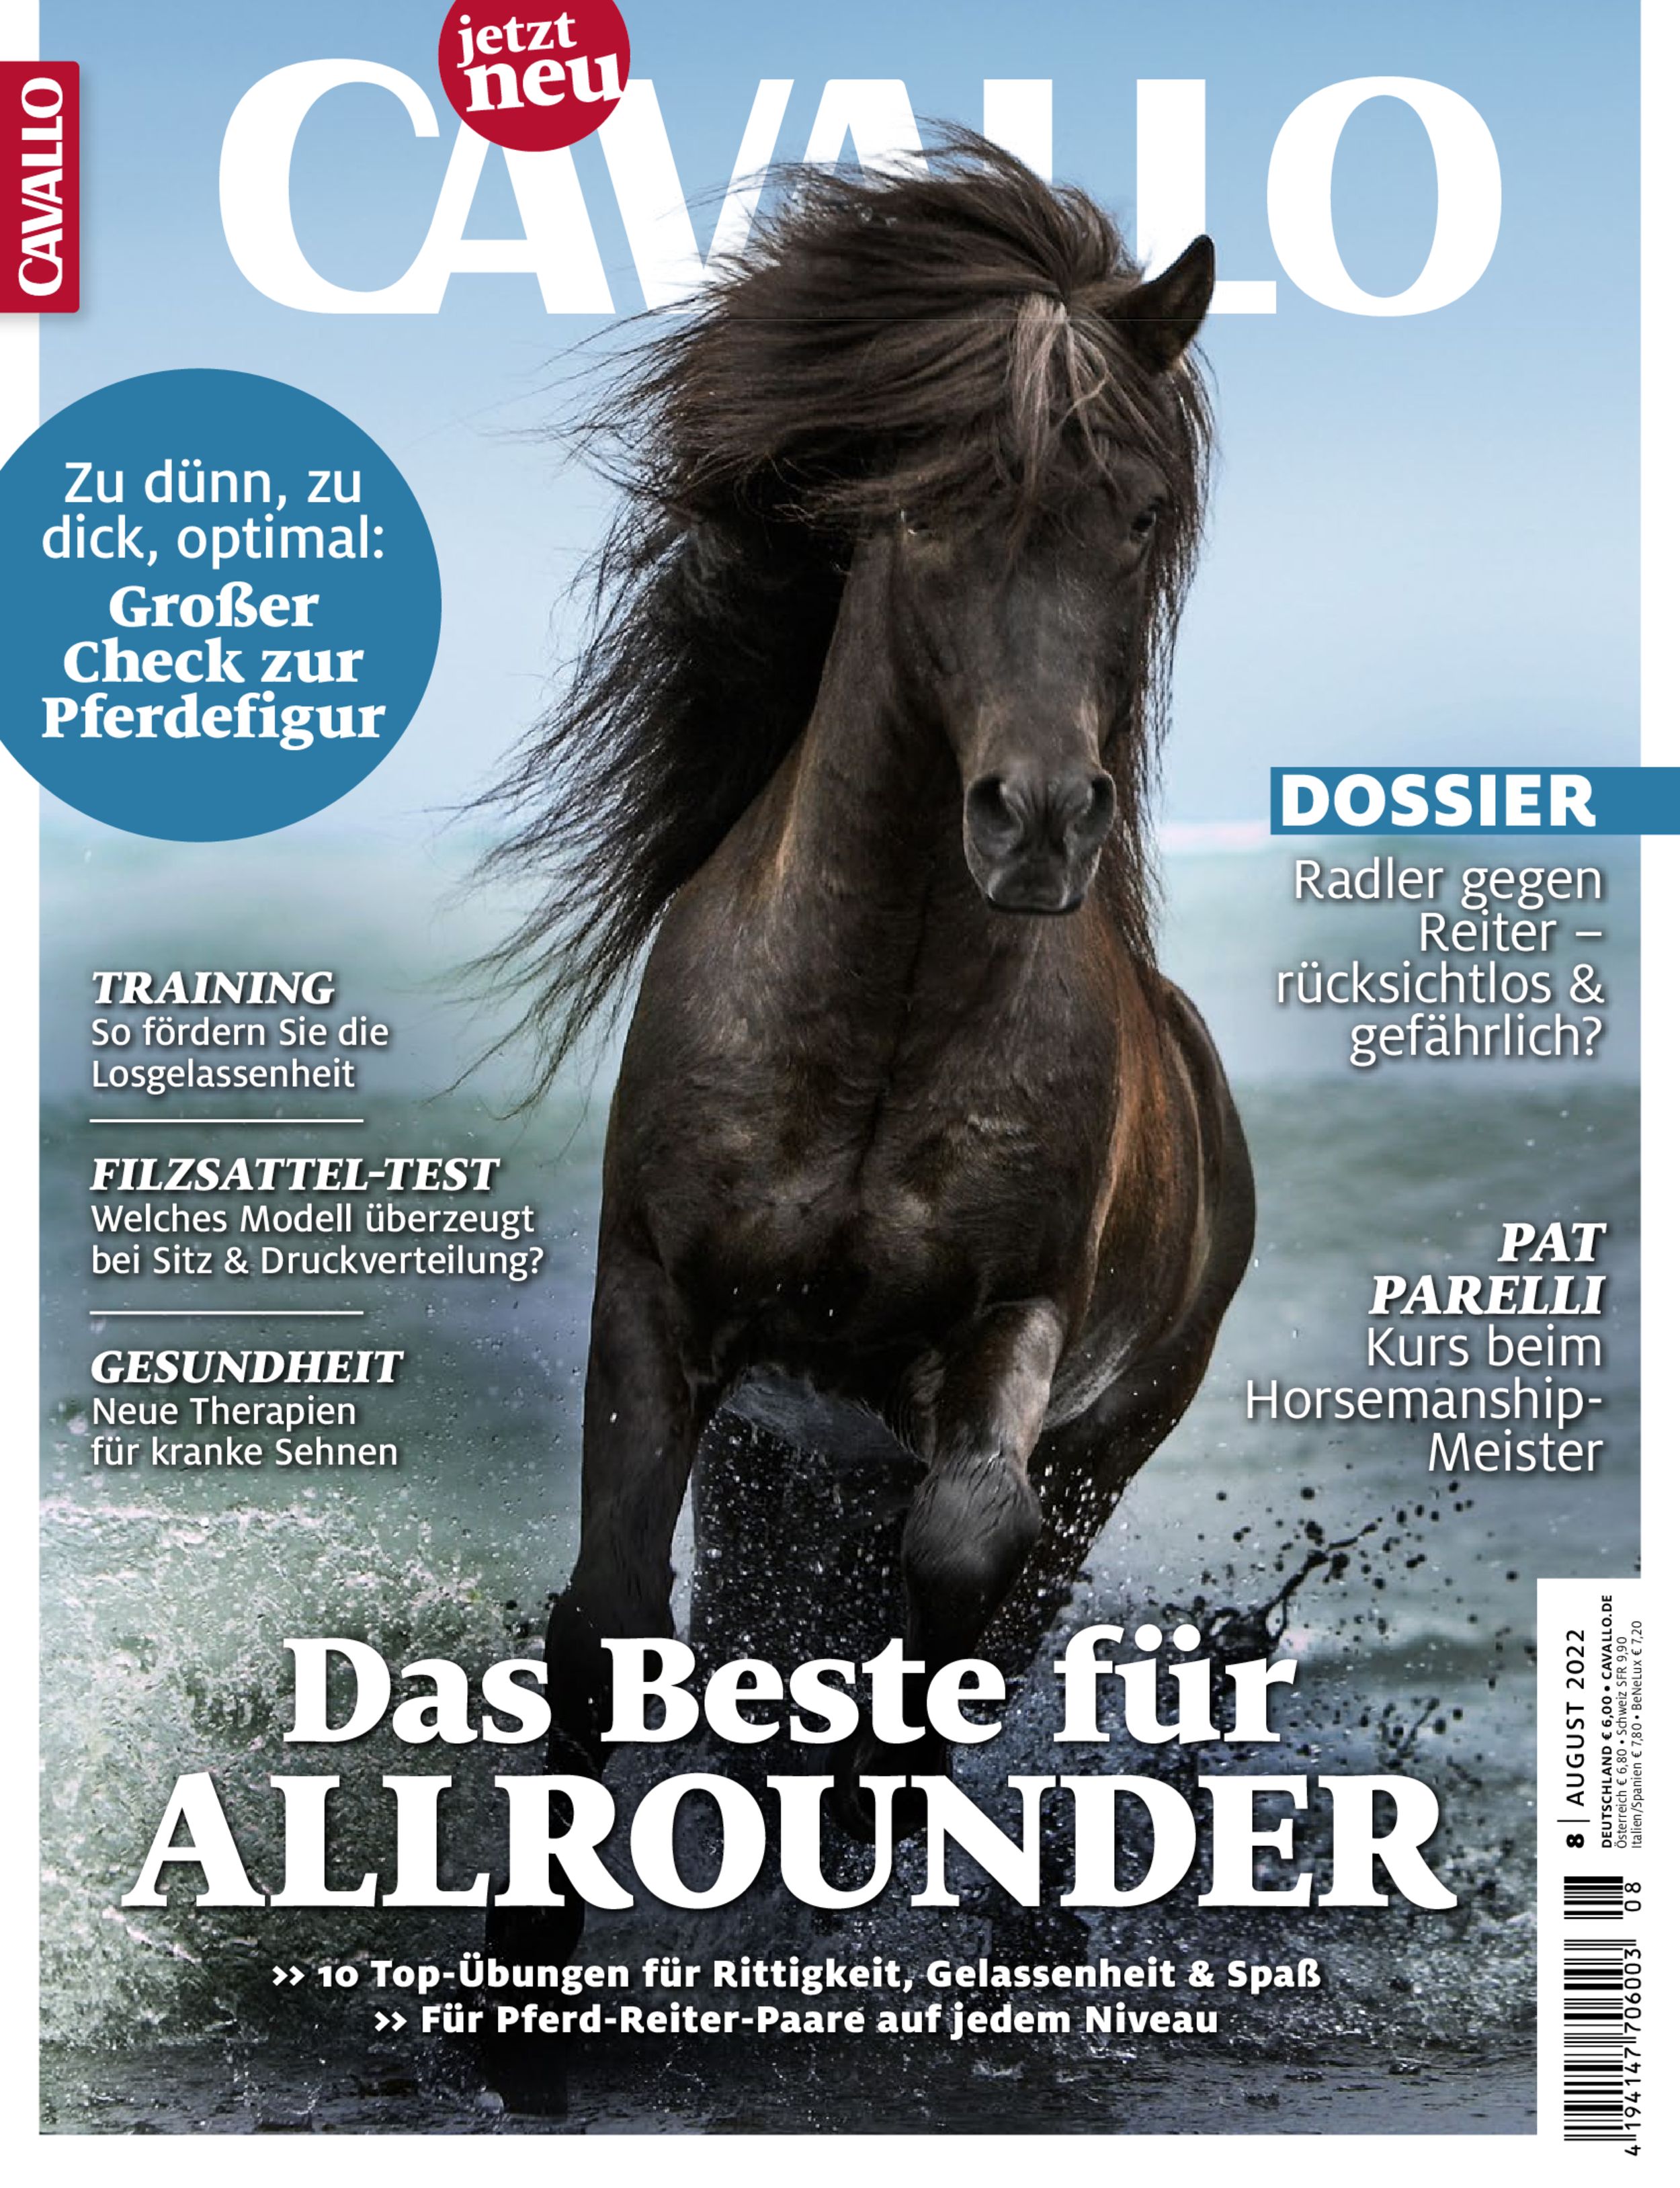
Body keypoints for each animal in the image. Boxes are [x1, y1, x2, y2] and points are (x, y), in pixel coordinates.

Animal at [484, 135, 1255, 1831]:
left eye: (1138, 514)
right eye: (929, 507)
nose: (1038, 820)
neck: (877, 1029)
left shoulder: (1013, 1322)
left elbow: (961, 1559)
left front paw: (869, 1797)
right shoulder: (657, 1294)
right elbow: (606, 1619)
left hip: (1092, 1450)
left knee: (993, 1604)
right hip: (776, 1453)